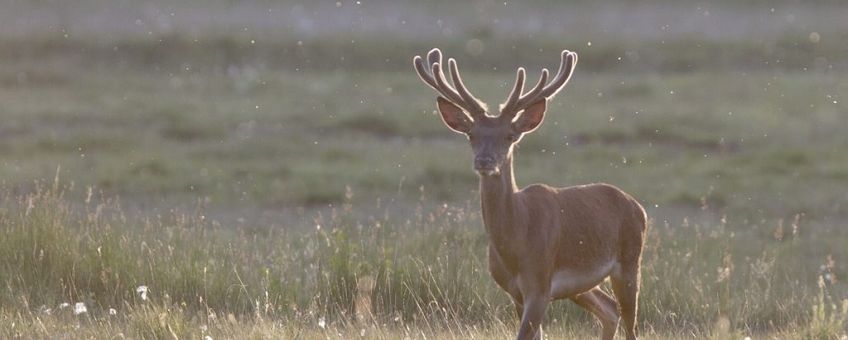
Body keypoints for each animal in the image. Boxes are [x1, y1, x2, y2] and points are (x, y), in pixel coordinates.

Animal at [414, 47, 644, 340]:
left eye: (510, 135)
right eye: (471, 134)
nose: (484, 161)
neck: (516, 242)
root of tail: (638, 206)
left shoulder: (539, 283)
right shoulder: (516, 293)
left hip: (630, 260)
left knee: (629, 320)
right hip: (582, 286)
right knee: (610, 309)